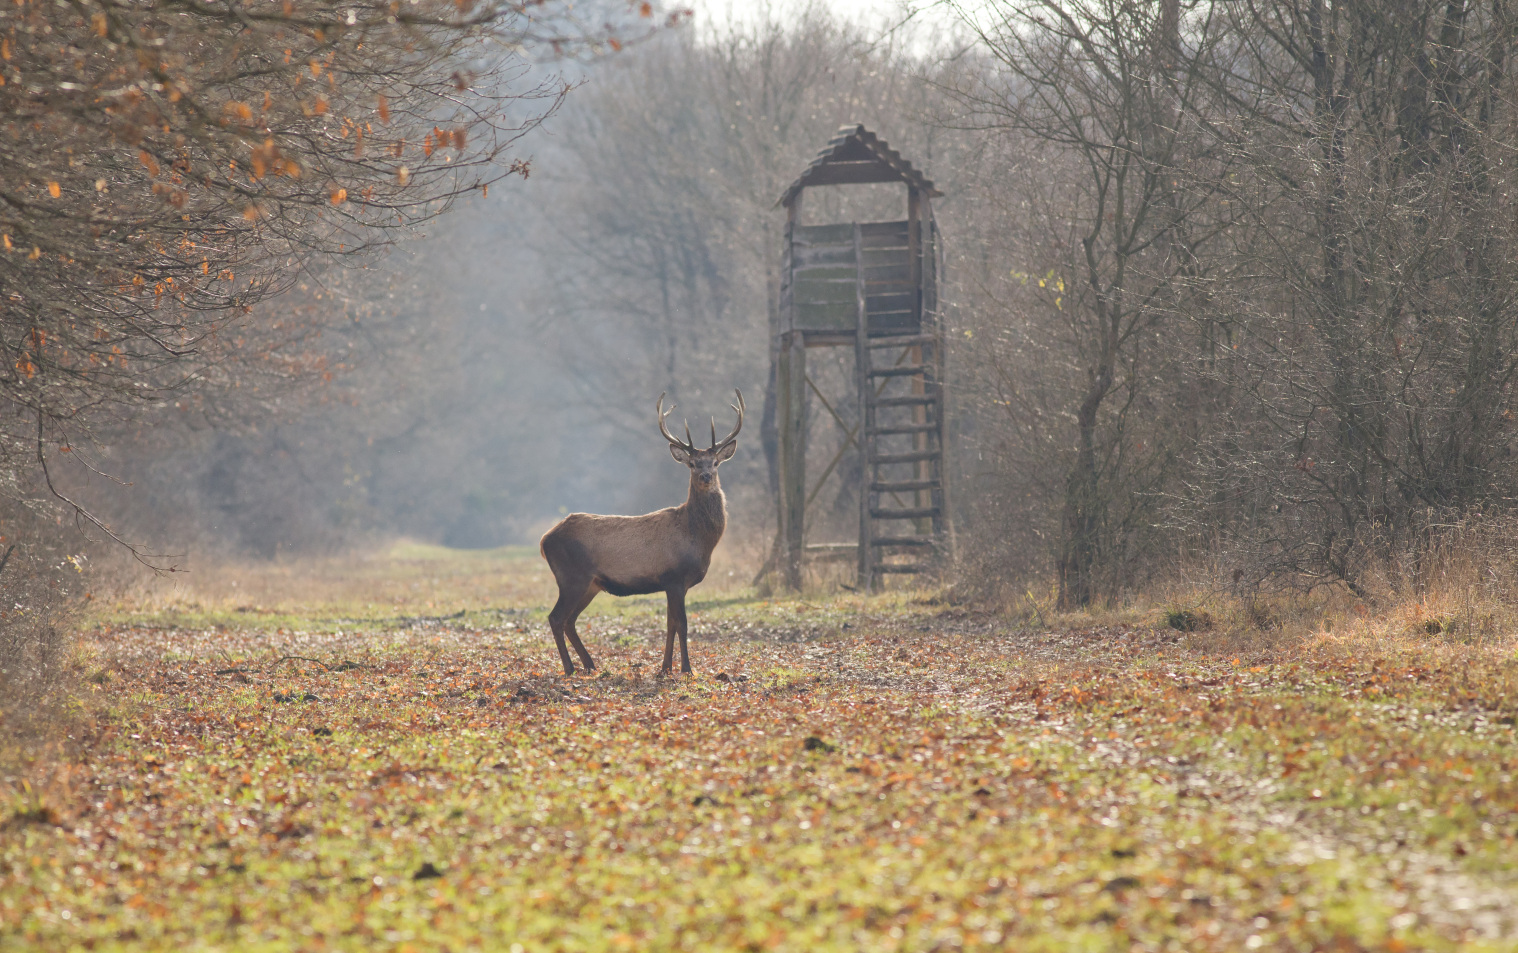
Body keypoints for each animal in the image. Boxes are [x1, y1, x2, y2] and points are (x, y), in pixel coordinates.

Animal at [537, 386, 743, 676]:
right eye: (692, 463)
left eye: (715, 462)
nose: (706, 477)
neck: (697, 540)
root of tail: (544, 539)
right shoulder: (674, 577)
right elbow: (682, 624)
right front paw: (687, 669)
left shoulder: (672, 583)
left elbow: (670, 624)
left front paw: (665, 668)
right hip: (571, 576)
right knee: (556, 617)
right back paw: (570, 668)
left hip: (591, 583)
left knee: (569, 620)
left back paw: (590, 664)